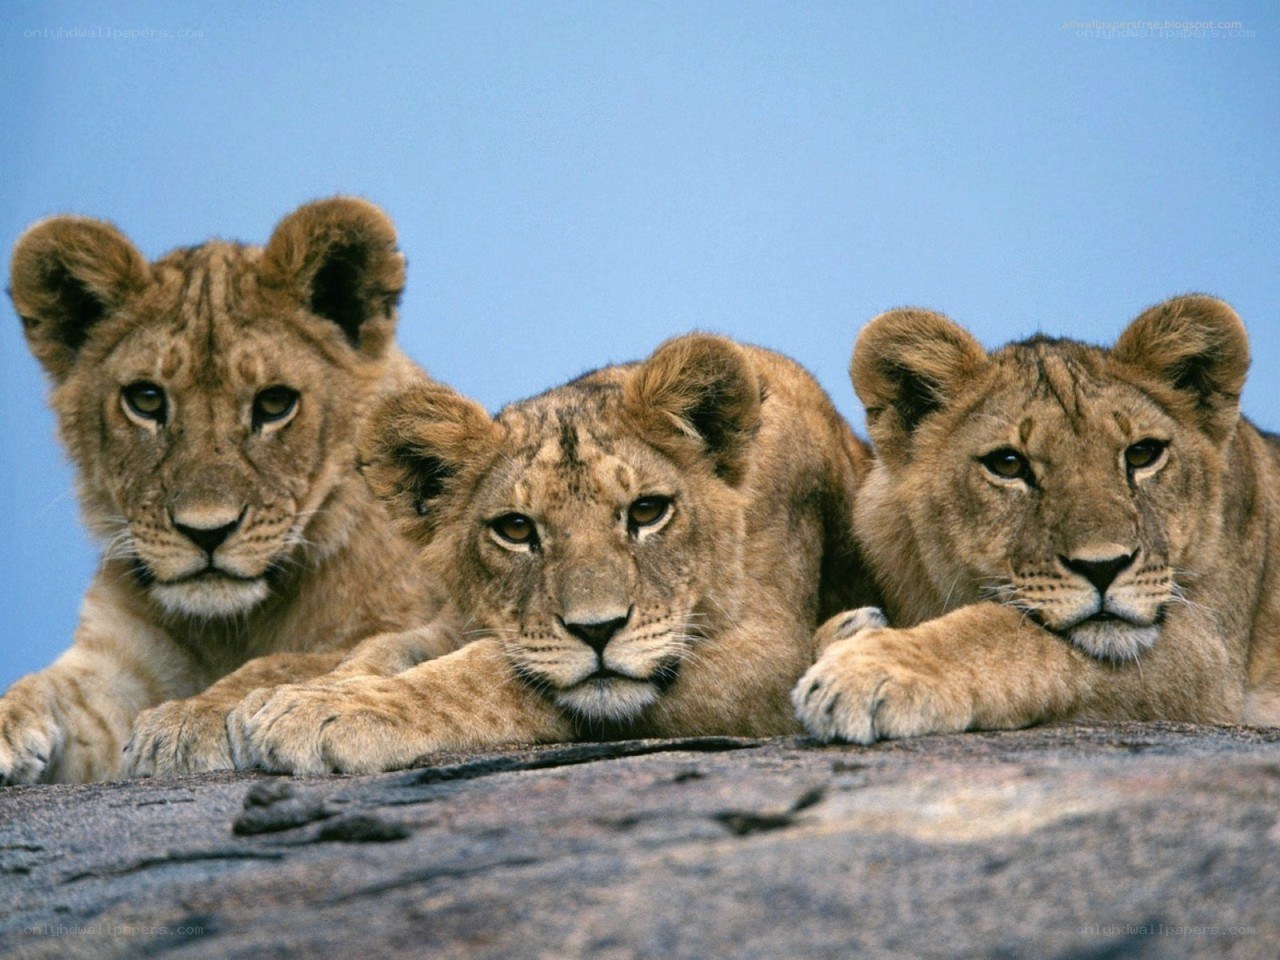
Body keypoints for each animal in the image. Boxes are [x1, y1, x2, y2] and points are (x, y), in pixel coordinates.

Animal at [1, 197, 451, 783]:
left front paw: (192, 715)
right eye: (146, 400)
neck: (231, 626)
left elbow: (291, 661)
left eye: (275, 403)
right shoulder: (115, 665)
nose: (206, 532)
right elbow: (47, 685)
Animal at [220, 333, 875, 775]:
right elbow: (385, 647)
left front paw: (326, 711)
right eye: (515, 528)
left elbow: (489, 677)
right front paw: (285, 698)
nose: (598, 630)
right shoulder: (461, 618)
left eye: (647, 512)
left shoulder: (767, 652)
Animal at [793, 294, 1280, 743]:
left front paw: (868, 670)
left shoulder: (1210, 658)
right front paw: (846, 634)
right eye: (1008, 464)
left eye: (1143, 454)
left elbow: (1008, 635)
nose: (1104, 567)